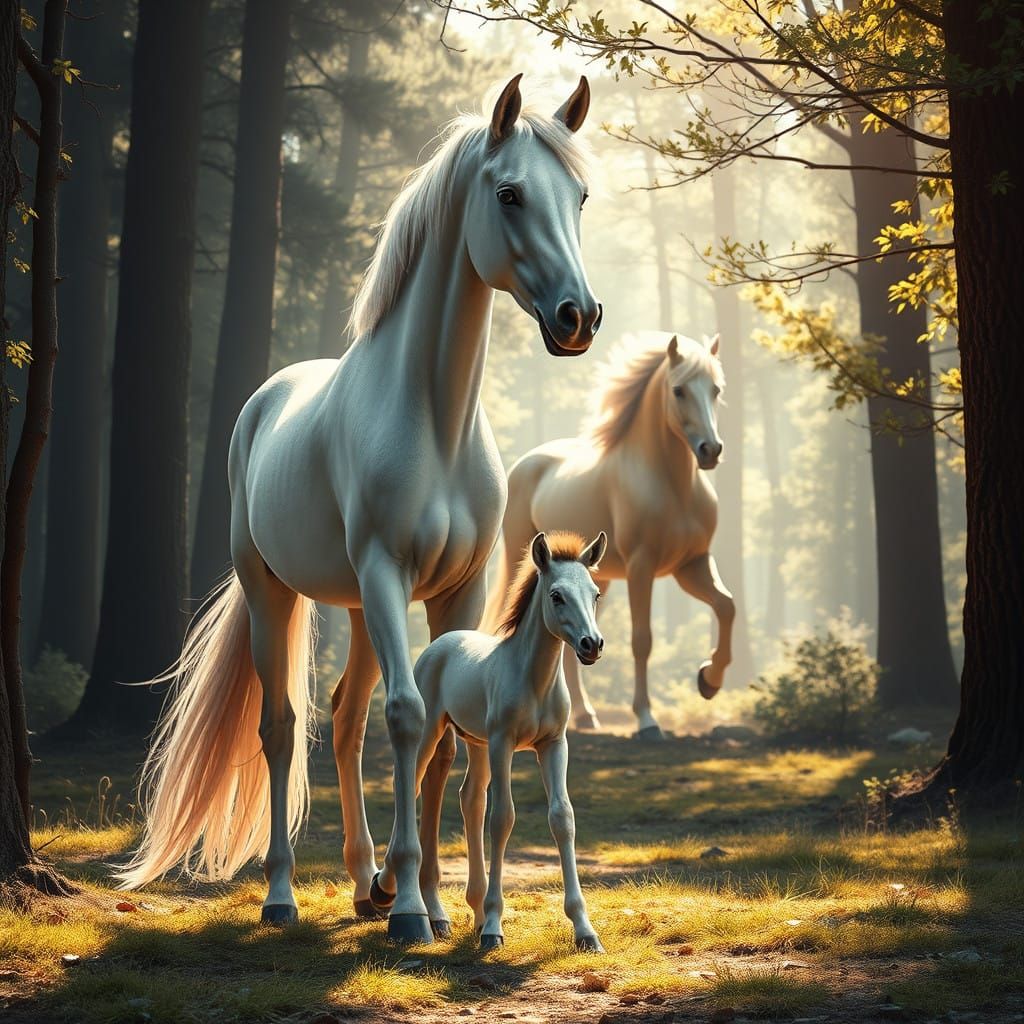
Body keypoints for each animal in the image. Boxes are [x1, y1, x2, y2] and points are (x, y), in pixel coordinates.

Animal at [409, 530, 607, 951]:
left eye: (595, 593)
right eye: (556, 595)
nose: (592, 645)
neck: (533, 680)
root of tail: (439, 643)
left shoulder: (554, 745)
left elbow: (562, 817)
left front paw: (585, 931)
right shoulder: (503, 742)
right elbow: (502, 818)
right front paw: (494, 928)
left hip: (477, 743)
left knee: (469, 799)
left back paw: (472, 911)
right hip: (434, 732)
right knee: (415, 788)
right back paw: (424, 909)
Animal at [486, 332, 731, 740]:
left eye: (715, 389)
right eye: (679, 390)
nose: (710, 451)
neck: (672, 485)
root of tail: (527, 463)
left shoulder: (691, 566)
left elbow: (727, 607)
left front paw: (708, 681)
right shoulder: (642, 567)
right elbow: (642, 639)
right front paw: (647, 721)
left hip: (594, 577)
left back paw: (585, 715)